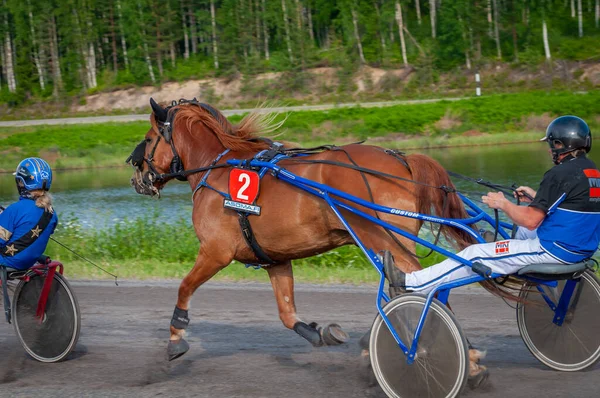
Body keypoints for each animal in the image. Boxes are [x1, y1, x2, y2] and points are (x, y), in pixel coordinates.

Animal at [126, 96, 488, 380]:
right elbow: (288, 314)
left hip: (381, 237)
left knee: (423, 285)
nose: (137, 176)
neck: (217, 169)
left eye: (149, 137)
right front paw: (323, 333)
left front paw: (175, 337)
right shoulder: (275, 259)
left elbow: (184, 287)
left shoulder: (216, 251)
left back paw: (452, 353)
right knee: (413, 284)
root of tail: (402, 158)